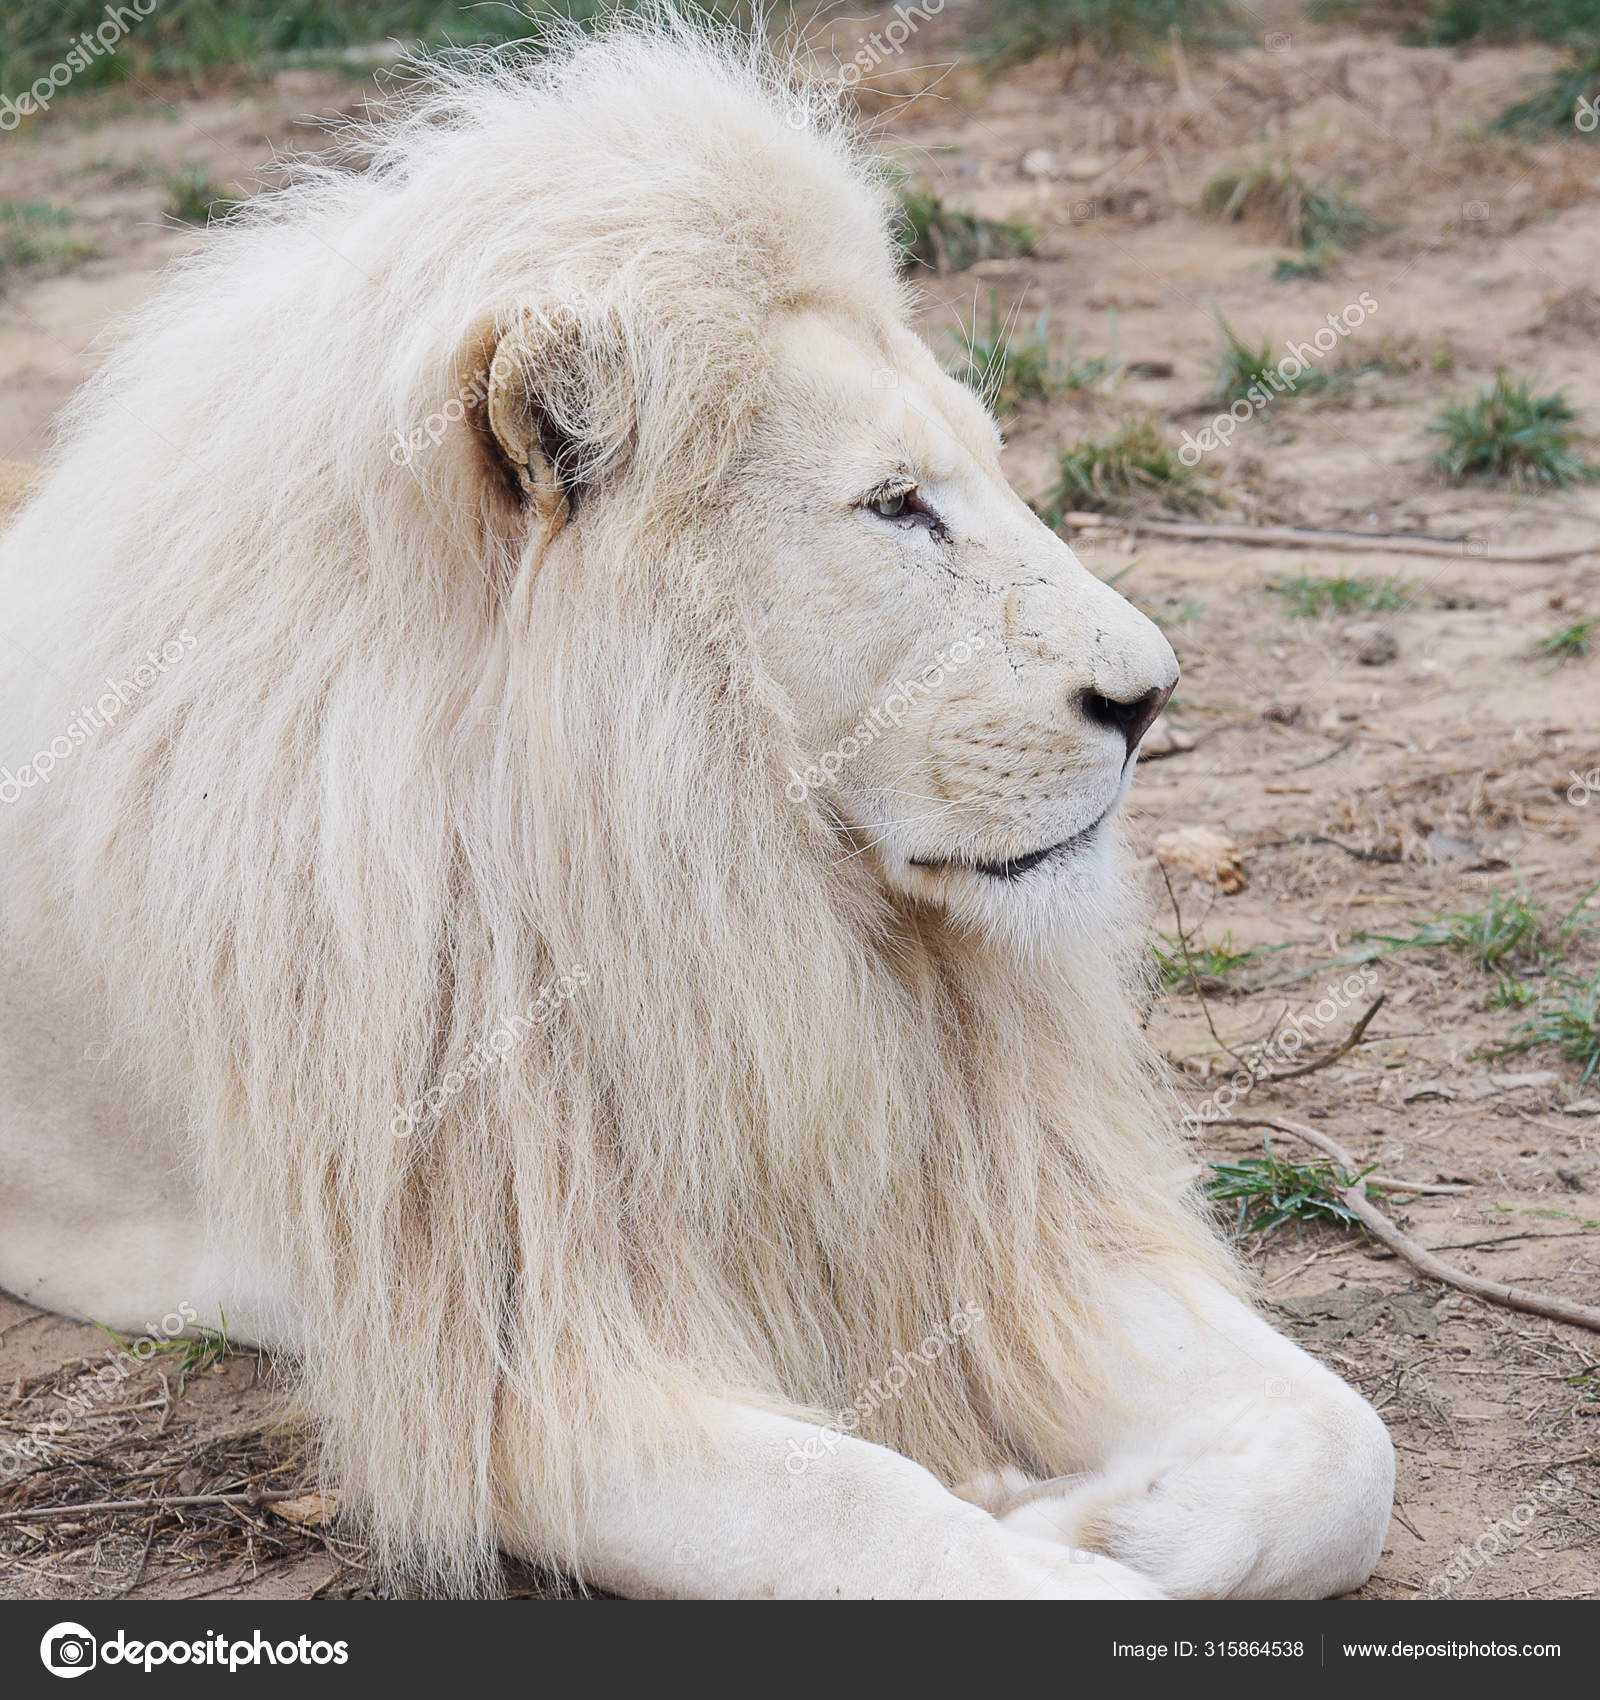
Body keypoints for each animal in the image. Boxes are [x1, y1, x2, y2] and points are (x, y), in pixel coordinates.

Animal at [0, 16, 1394, 1604]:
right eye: (896, 505)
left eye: (986, 468)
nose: (1150, 698)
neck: (726, 902)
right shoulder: (505, 1346)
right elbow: (847, 1507)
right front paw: (1044, 1542)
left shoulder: (1001, 1206)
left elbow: (1344, 1440)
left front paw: (1108, 1514)